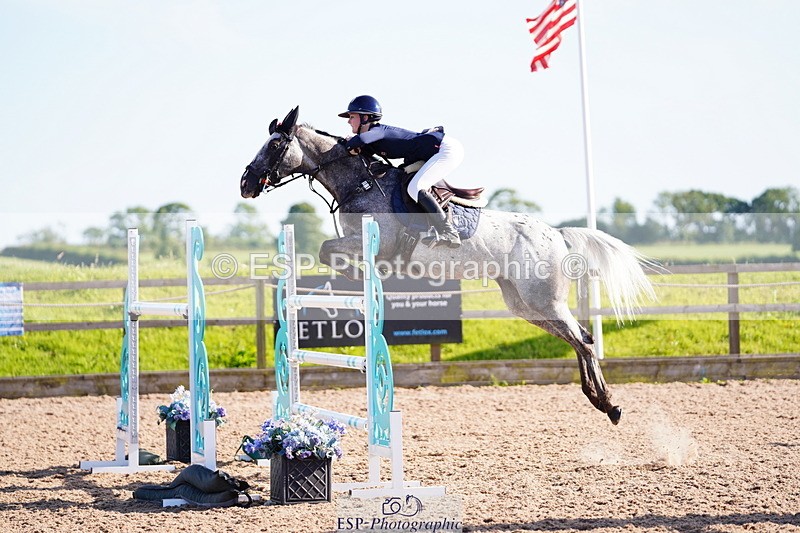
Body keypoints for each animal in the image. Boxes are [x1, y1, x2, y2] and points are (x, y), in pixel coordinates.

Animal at [240, 106, 656, 425]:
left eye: (275, 144)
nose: (245, 183)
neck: (359, 183)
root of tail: (556, 234)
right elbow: (328, 251)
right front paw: (356, 280)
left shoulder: (378, 242)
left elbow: (328, 249)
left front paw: (360, 278)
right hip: (525, 305)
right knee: (578, 339)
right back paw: (599, 400)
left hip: (544, 300)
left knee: (583, 341)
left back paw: (610, 405)